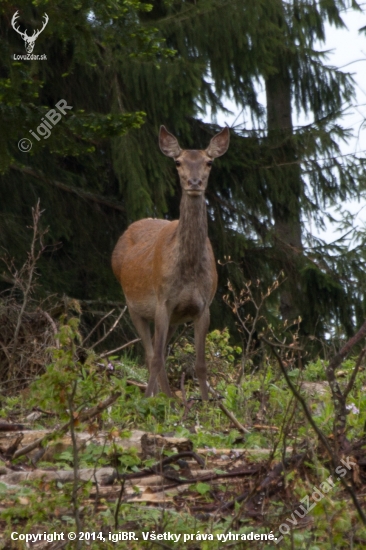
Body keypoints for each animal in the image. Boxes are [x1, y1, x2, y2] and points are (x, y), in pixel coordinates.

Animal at [113, 126, 230, 398]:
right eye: (178, 162)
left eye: (209, 162)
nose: (194, 183)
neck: (188, 270)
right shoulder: (162, 301)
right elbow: (155, 358)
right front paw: (146, 400)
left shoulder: (202, 306)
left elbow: (200, 364)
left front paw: (206, 403)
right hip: (133, 306)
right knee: (150, 354)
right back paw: (158, 396)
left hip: (174, 318)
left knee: (161, 354)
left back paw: (168, 397)